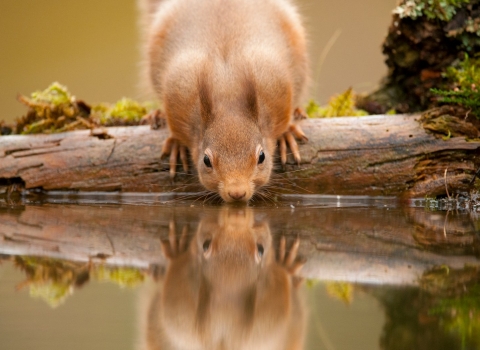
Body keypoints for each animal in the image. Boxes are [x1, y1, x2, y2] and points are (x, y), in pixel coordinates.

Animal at [141, 0, 310, 202]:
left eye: (262, 156)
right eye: (206, 160)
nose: (237, 193)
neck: (227, 95)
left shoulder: (276, 84)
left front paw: (287, 133)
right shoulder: (178, 91)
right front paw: (177, 144)